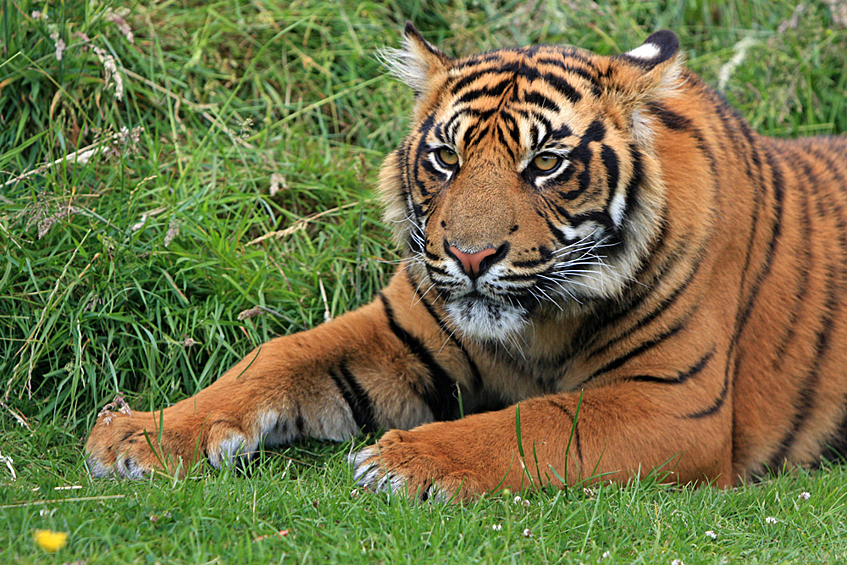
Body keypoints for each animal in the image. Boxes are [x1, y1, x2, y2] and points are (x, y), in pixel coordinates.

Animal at [84, 24, 847, 500]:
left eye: (545, 163)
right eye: (446, 157)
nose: (470, 255)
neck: (538, 325)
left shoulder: (675, 401)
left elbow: (539, 420)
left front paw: (406, 458)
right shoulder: (397, 331)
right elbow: (273, 357)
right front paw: (139, 434)